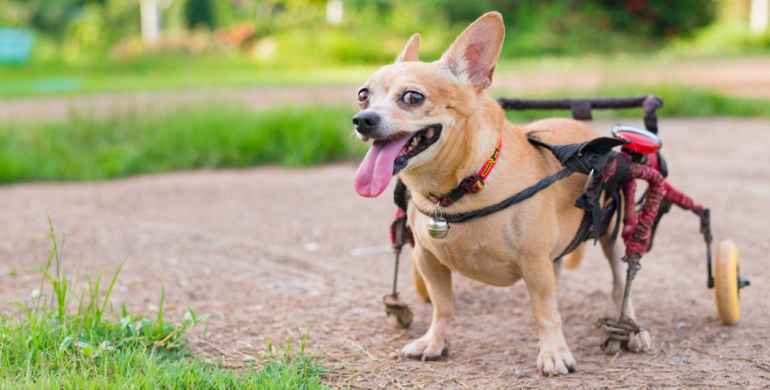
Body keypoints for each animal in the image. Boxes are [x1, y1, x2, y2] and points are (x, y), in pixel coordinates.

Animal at [352, 12, 648, 378]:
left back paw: (632, 329)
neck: (462, 186)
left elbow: (544, 312)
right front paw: (435, 341)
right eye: (363, 95)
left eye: (412, 98)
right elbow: (442, 306)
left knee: (622, 284)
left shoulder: (534, 262)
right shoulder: (428, 259)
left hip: (613, 237)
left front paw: (553, 353)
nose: (362, 119)